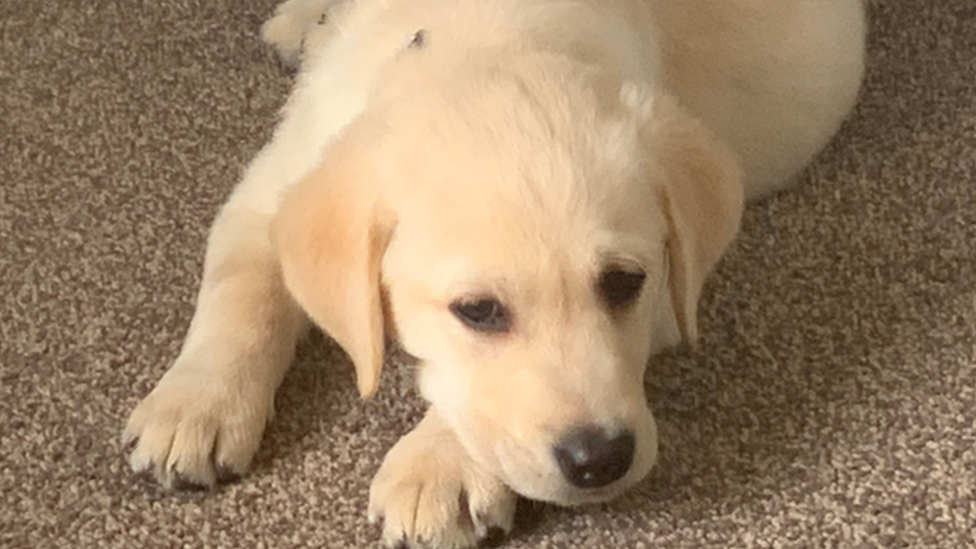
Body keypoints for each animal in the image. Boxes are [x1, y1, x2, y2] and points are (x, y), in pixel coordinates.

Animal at [122, 2, 860, 544]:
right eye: (478, 311)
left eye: (625, 283)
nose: (601, 460)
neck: (489, 33)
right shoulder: (271, 188)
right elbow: (241, 293)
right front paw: (195, 405)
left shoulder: (669, 296)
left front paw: (441, 466)